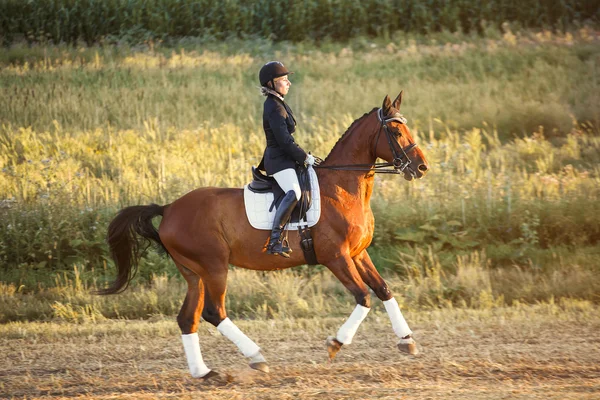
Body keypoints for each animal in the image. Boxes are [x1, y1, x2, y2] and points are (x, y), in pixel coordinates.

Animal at [102, 93, 426, 378]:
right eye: (395, 131)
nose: (421, 167)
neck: (341, 187)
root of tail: (168, 209)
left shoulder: (357, 253)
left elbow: (383, 289)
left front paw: (407, 340)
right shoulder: (336, 257)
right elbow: (363, 297)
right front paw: (335, 344)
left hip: (194, 273)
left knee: (187, 318)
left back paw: (205, 373)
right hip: (214, 267)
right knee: (214, 312)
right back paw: (256, 357)